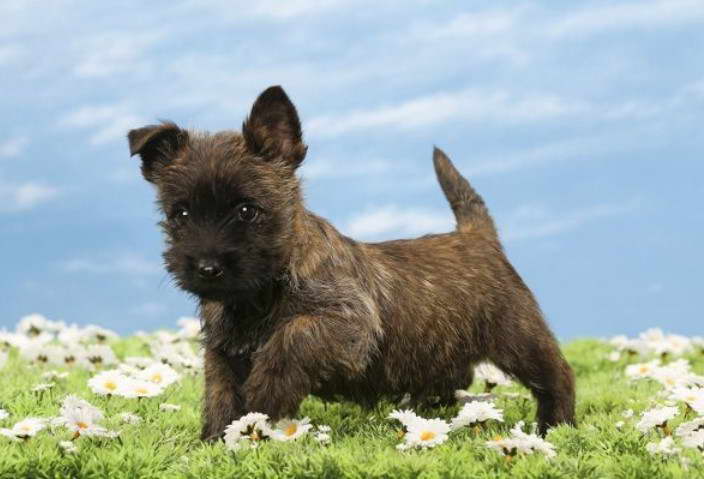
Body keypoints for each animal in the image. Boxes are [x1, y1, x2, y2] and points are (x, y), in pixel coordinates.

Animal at [129, 86, 576, 442]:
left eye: (246, 210)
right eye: (181, 214)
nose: (207, 268)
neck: (262, 291)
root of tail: (476, 235)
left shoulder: (348, 322)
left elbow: (292, 336)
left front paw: (264, 396)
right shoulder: (222, 351)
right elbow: (219, 395)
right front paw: (215, 442)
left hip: (520, 336)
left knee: (557, 376)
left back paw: (556, 426)